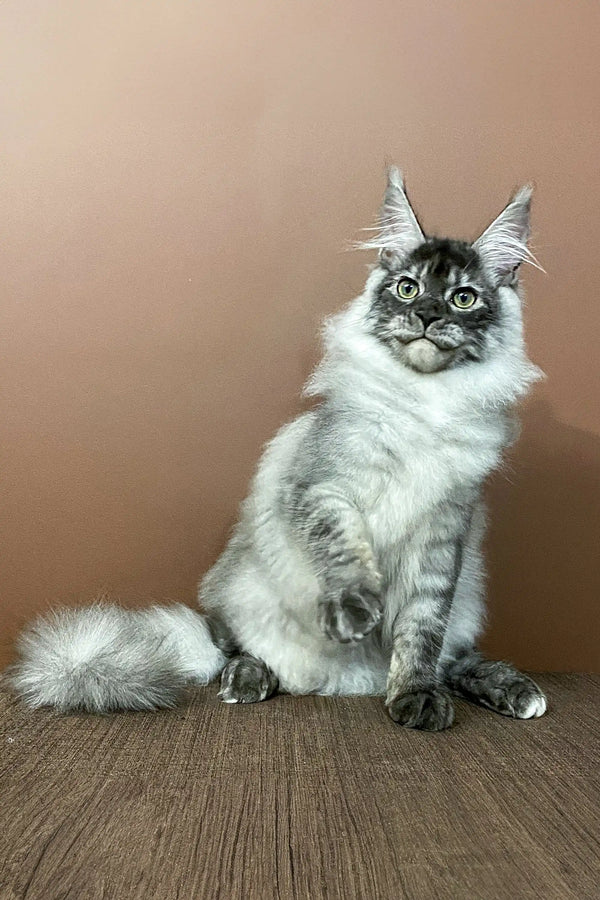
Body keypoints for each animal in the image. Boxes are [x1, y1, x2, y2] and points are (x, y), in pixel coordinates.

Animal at [7, 169, 548, 732]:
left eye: (463, 298)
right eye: (408, 288)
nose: (424, 314)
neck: (425, 404)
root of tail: (352, 681)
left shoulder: (443, 534)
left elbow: (422, 630)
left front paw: (413, 696)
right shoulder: (324, 488)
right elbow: (347, 554)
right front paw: (356, 610)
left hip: (466, 605)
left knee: (455, 659)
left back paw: (514, 690)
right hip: (241, 596)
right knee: (238, 650)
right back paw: (248, 679)